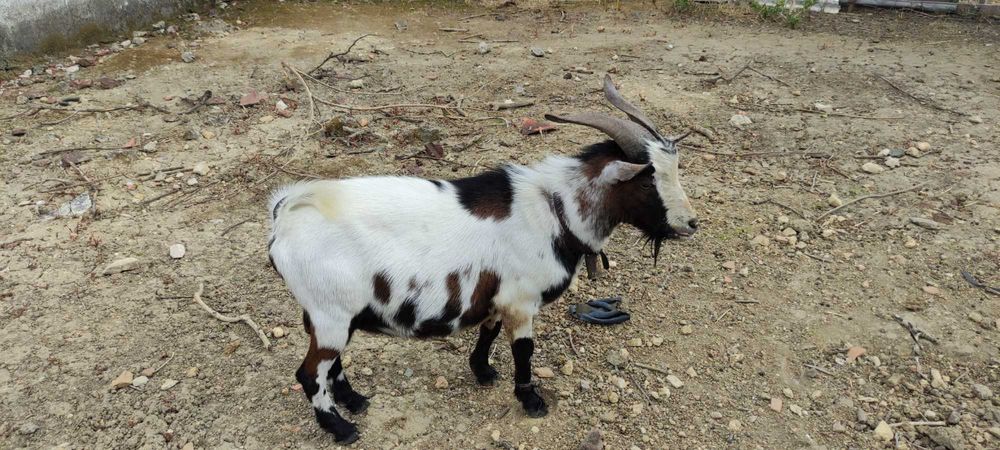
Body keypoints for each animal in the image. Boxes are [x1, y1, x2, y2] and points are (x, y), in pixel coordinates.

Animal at [267, 75, 699, 444]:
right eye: (647, 181)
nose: (691, 223)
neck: (555, 211)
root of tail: (285, 215)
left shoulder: (498, 294)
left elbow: (488, 331)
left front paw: (483, 371)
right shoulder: (522, 301)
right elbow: (523, 350)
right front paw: (531, 401)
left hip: (332, 312)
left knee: (331, 363)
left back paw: (355, 401)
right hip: (331, 312)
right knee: (309, 373)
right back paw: (341, 428)